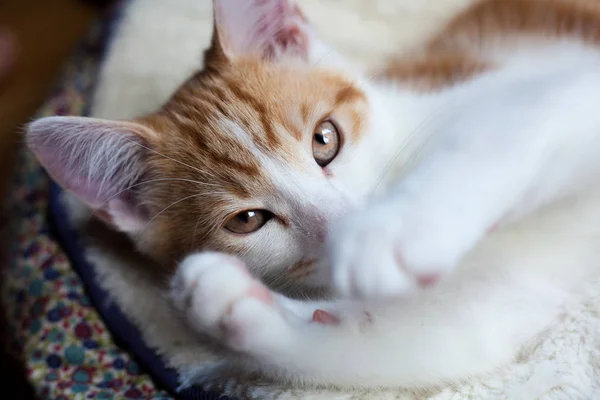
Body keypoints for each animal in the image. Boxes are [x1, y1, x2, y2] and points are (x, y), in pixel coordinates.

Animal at [27, 0, 600, 390]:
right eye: (247, 220)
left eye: (325, 139)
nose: (342, 224)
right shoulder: (504, 291)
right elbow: (430, 336)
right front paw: (234, 306)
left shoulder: (563, 85)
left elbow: (494, 129)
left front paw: (394, 229)